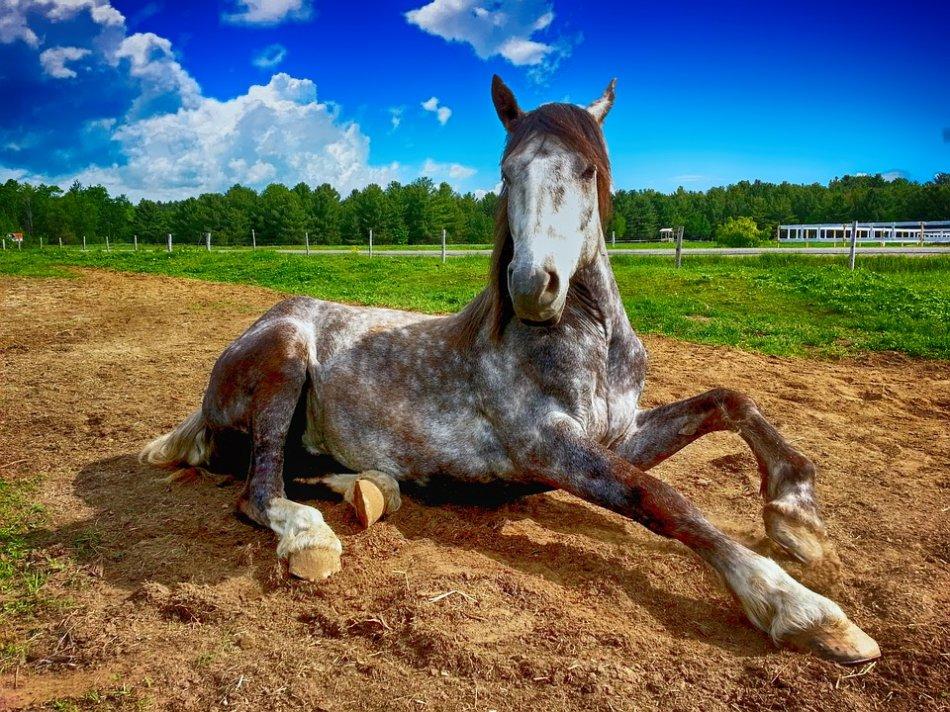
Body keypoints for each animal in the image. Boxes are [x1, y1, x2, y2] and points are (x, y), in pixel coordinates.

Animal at [141, 76, 880, 665]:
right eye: (506, 172)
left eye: (586, 170)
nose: (532, 287)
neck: (587, 345)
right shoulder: (547, 448)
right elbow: (661, 498)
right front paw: (804, 610)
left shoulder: (619, 433)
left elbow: (731, 400)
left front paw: (798, 519)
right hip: (287, 357)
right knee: (258, 487)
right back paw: (309, 537)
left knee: (302, 469)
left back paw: (373, 489)